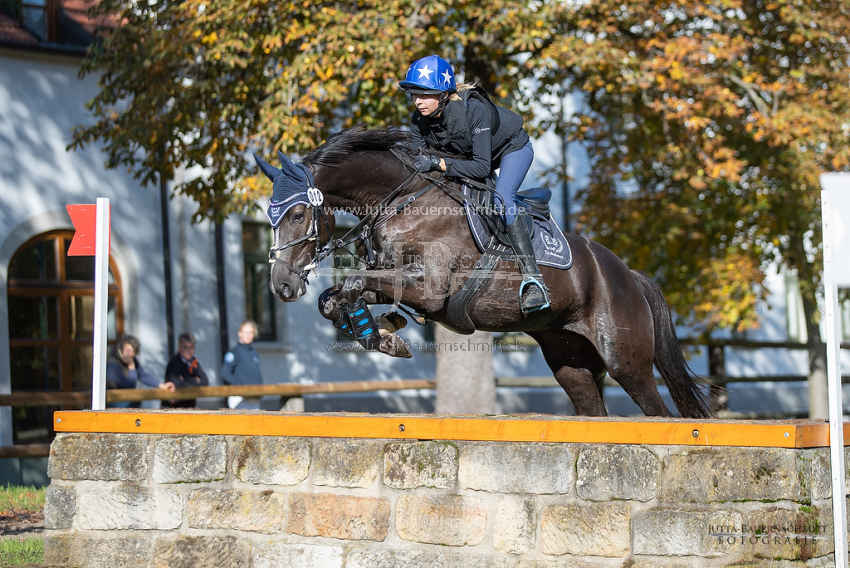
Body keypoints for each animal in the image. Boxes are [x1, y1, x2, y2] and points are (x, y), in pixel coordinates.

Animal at [255, 130, 712, 422]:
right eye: (270, 218)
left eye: (297, 214)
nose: (282, 285)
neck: (401, 199)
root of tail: (628, 273)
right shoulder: (394, 278)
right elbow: (335, 296)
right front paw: (384, 330)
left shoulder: (431, 288)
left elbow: (352, 285)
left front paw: (380, 335)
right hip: (571, 360)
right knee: (591, 405)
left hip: (626, 360)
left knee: (656, 410)